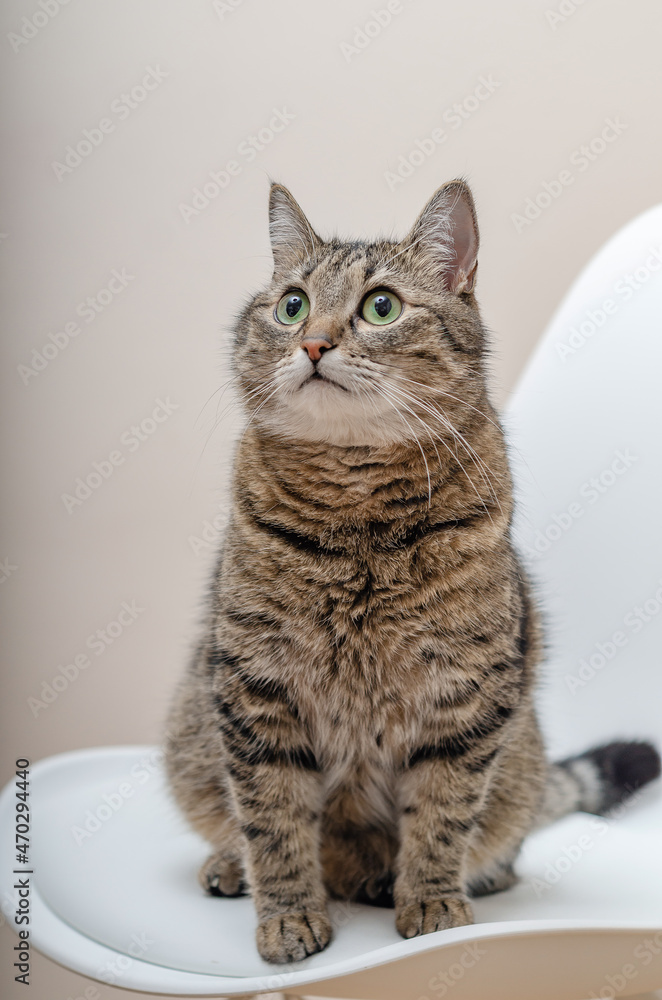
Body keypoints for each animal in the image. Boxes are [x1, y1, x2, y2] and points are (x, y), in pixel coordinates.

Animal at [165, 178, 660, 960]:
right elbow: (273, 822)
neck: (357, 513)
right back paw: (233, 866)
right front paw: (287, 915)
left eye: (381, 307)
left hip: (520, 757)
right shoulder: (254, 688)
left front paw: (431, 902)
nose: (313, 341)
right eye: (293, 304)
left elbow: (442, 815)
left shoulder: (467, 698)